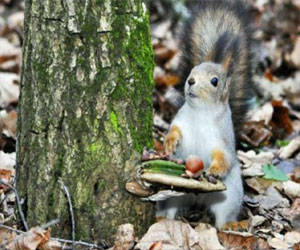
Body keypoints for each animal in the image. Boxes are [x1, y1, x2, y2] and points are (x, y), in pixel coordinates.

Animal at [156, 0, 254, 229]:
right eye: (194, 69)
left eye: (214, 81)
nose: (190, 81)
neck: (201, 113)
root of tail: (197, 199)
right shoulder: (181, 119)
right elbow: (174, 129)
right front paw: (170, 142)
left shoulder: (222, 137)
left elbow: (223, 155)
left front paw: (215, 169)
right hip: (173, 196)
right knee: (171, 209)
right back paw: (163, 219)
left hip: (229, 197)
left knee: (223, 218)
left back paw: (227, 227)